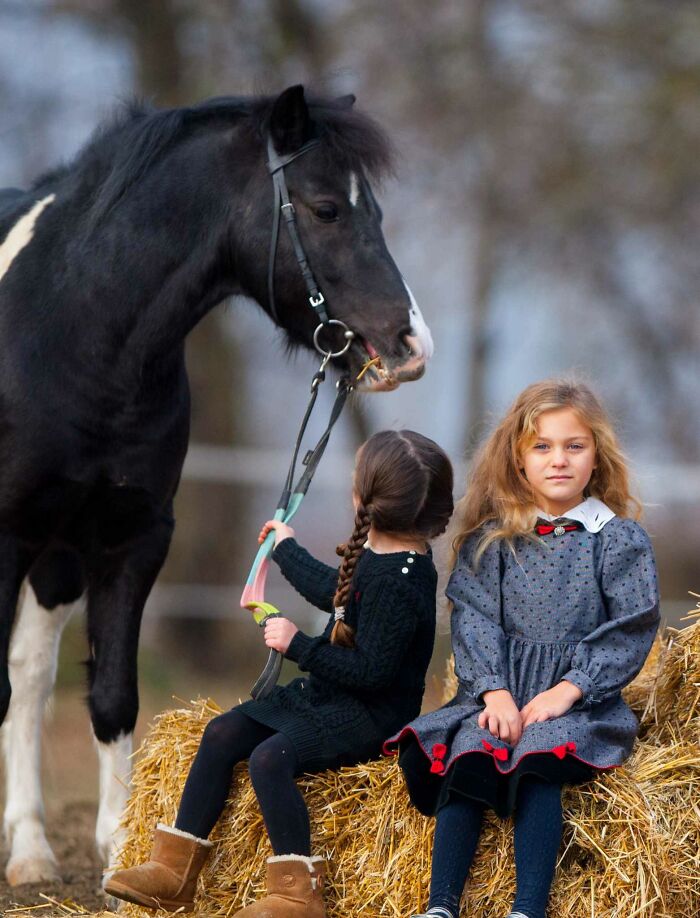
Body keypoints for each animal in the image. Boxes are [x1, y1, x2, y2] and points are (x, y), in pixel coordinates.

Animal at [0, 84, 433, 887]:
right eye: (327, 208)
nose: (412, 345)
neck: (67, 327)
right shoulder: (7, 533)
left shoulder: (132, 539)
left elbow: (112, 695)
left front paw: (119, 853)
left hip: (60, 557)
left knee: (35, 672)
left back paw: (34, 850)